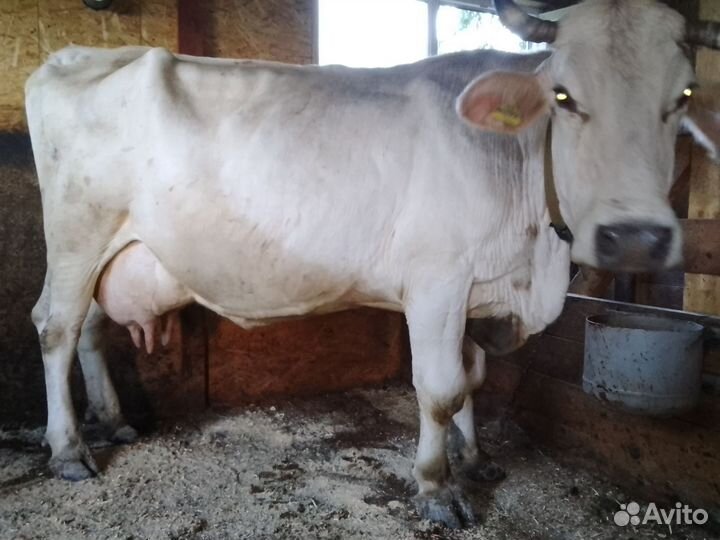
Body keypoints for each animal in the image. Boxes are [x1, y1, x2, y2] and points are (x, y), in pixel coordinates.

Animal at [25, 0, 720, 528]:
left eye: (683, 95)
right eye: (564, 95)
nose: (634, 237)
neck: (533, 260)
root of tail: (76, 56)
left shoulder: (474, 290)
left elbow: (473, 374)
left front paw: (475, 458)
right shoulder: (439, 280)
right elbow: (440, 387)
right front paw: (437, 489)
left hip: (110, 252)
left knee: (88, 328)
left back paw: (112, 421)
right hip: (77, 232)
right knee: (56, 328)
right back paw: (68, 450)